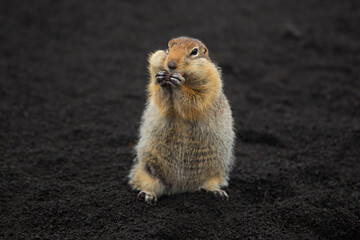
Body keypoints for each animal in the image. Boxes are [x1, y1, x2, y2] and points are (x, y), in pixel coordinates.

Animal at [128, 36, 235, 204]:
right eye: (169, 47)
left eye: (194, 51)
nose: (171, 65)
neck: (187, 77)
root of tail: (181, 188)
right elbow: (161, 99)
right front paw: (161, 79)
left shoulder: (210, 79)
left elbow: (196, 100)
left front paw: (178, 83)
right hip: (147, 171)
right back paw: (147, 194)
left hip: (216, 172)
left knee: (209, 184)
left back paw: (218, 192)